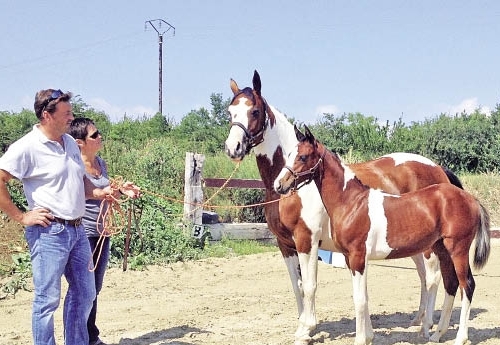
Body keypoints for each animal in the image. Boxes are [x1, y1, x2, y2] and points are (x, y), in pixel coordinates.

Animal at [225, 70, 462, 344]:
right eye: (231, 111)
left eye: (254, 111)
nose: (233, 148)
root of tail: (437, 168)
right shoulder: (285, 245)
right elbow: (297, 286)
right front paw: (303, 327)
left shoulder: (307, 240)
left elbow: (310, 285)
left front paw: (307, 329)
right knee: (424, 276)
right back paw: (418, 320)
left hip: (430, 247)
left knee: (433, 277)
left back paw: (427, 327)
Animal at [274, 125, 488, 344]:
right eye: (288, 155)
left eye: (303, 156)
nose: (279, 185)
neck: (351, 202)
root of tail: (470, 199)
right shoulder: (351, 259)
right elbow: (364, 297)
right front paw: (368, 336)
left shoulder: (357, 257)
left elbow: (359, 299)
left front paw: (360, 339)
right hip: (443, 250)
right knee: (451, 283)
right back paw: (437, 334)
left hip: (458, 250)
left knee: (466, 285)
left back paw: (459, 337)